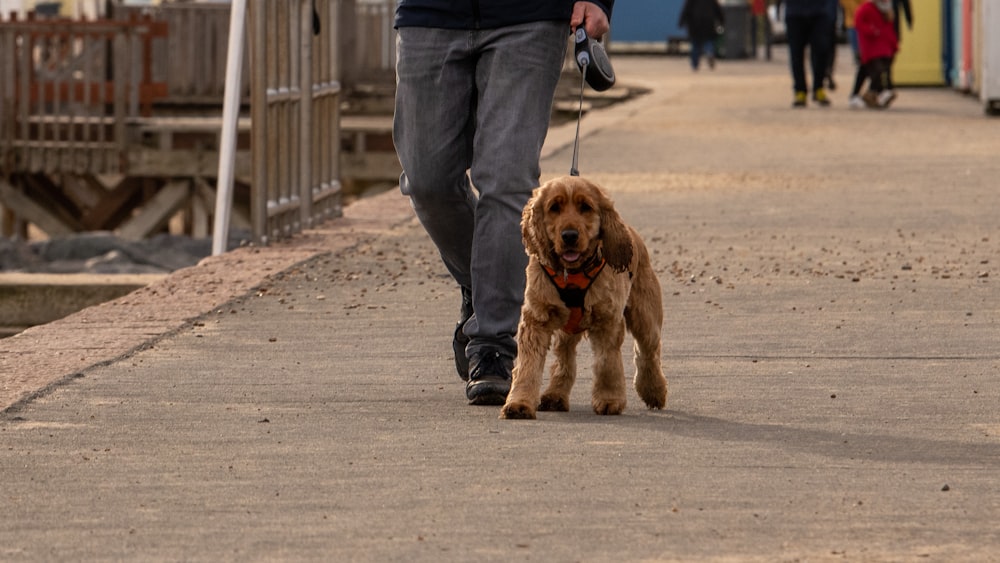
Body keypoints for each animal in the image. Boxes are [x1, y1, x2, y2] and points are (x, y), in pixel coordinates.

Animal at [498, 176, 664, 418]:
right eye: (554, 208)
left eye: (585, 207)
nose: (569, 236)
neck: (571, 273)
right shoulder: (536, 319)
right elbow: (528, 366)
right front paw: (519, 403)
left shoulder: (607, 320)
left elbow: (606, 363)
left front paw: (609, 399)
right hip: (567, 330)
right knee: (564, 359)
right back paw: (555, 396)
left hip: (646, 317)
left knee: (647, 353)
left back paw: (654, 391)